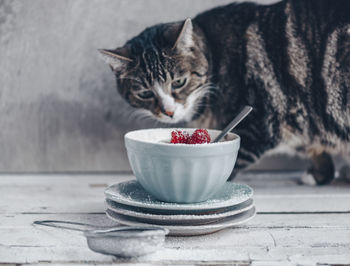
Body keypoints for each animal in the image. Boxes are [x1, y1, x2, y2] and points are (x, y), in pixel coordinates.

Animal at [98, 0, 350, 185]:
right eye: (145, 94)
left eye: (179, 82)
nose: (169, 112)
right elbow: (315, 143)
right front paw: (320, 173)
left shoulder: (261, 123)